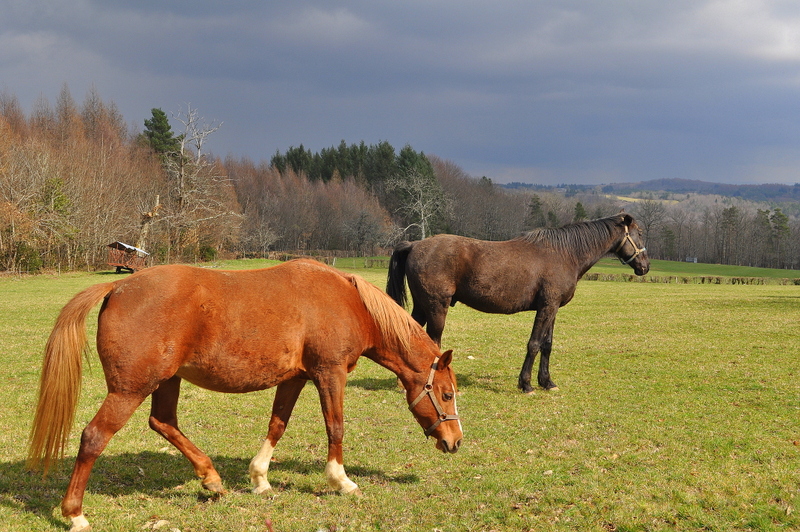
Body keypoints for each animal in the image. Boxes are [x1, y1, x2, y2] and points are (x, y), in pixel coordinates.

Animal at [29, 258, 462, 532]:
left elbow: (277, 425)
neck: (348, 301)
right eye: (447, 394)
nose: (454, 441)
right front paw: (341, 481)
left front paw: (259, 478)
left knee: (163, 422)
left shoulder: (295, 378)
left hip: (165, 382)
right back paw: (75, 515)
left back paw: (212, 479)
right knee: (94, 437)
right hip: (129, 390)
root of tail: (118, 285)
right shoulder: (329, 373)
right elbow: (335, 427)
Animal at [388, 214, 648, 392]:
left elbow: (547, 345)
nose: (645, 267)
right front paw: (526, 384)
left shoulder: (552, 308)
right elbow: (534, 344)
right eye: (640, 233)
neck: (564, 254)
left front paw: (547, 382)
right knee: (433, 341)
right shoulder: (547, 307)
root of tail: (414, 245)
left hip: (422, 306)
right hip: (436, 308)